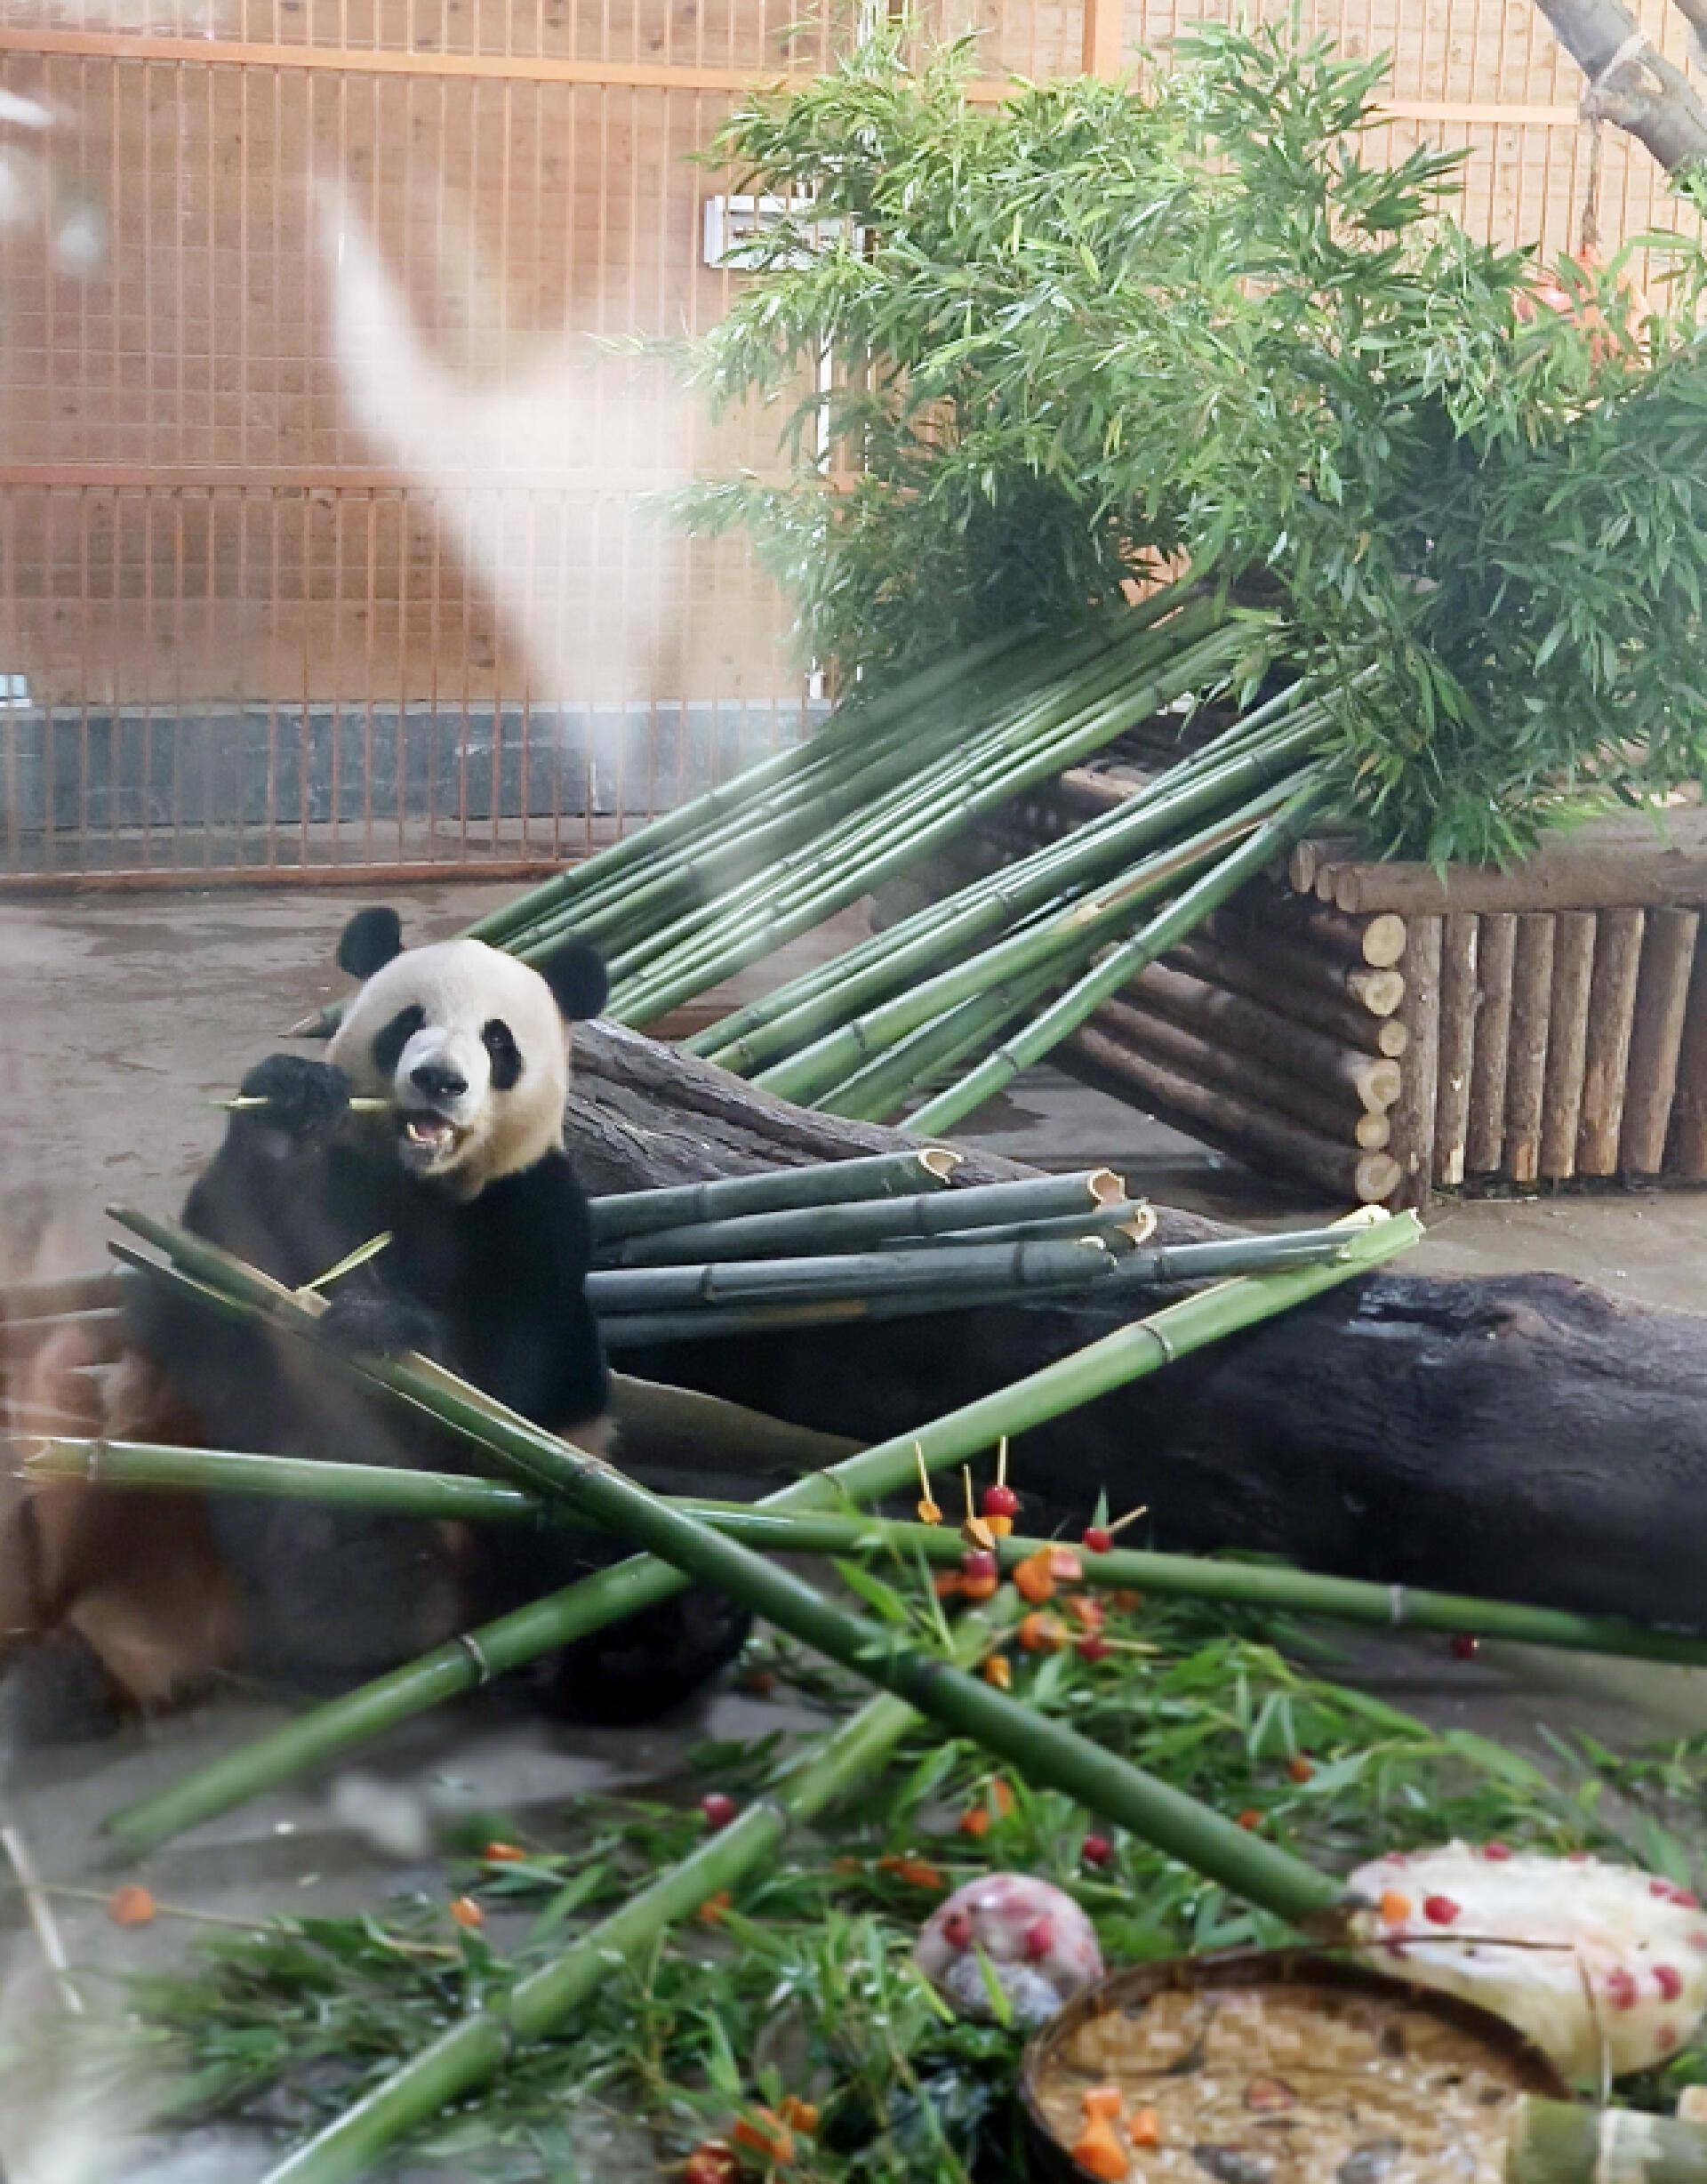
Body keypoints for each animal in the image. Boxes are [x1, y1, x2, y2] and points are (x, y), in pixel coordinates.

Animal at [101, 903, 750, 1721]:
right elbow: (220, 1286)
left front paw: (383, 1325)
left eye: (498, 1042)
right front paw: (289, 1103)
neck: (425, 1184)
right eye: (409, 1021)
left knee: (625, 1556)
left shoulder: (537, 1218)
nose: (440, 1080)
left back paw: (670, 1633)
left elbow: (512, 1388)